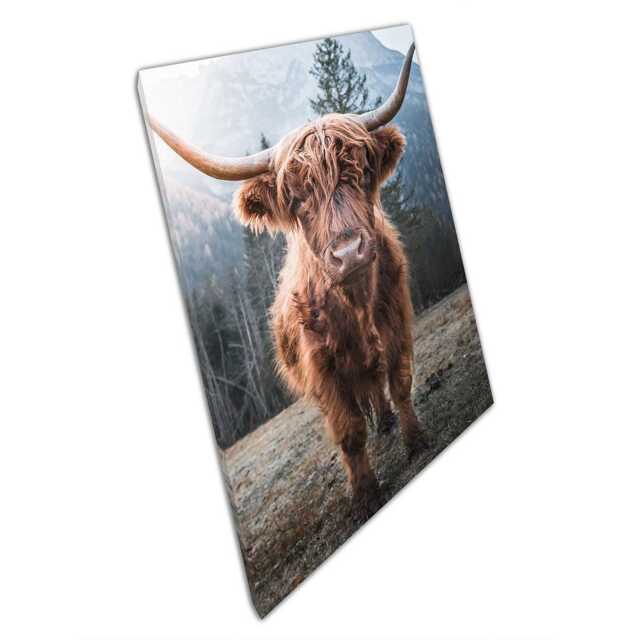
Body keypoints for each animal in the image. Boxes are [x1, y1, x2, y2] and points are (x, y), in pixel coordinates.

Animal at [148, 43, 431, 519]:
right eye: (298, 200)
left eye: (360, 172)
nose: (349, 252)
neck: (356, 305)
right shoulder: (322, 369)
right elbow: (348, 431)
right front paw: (365, 494)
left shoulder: (396, 322)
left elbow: (399, 383)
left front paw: (416, 441)